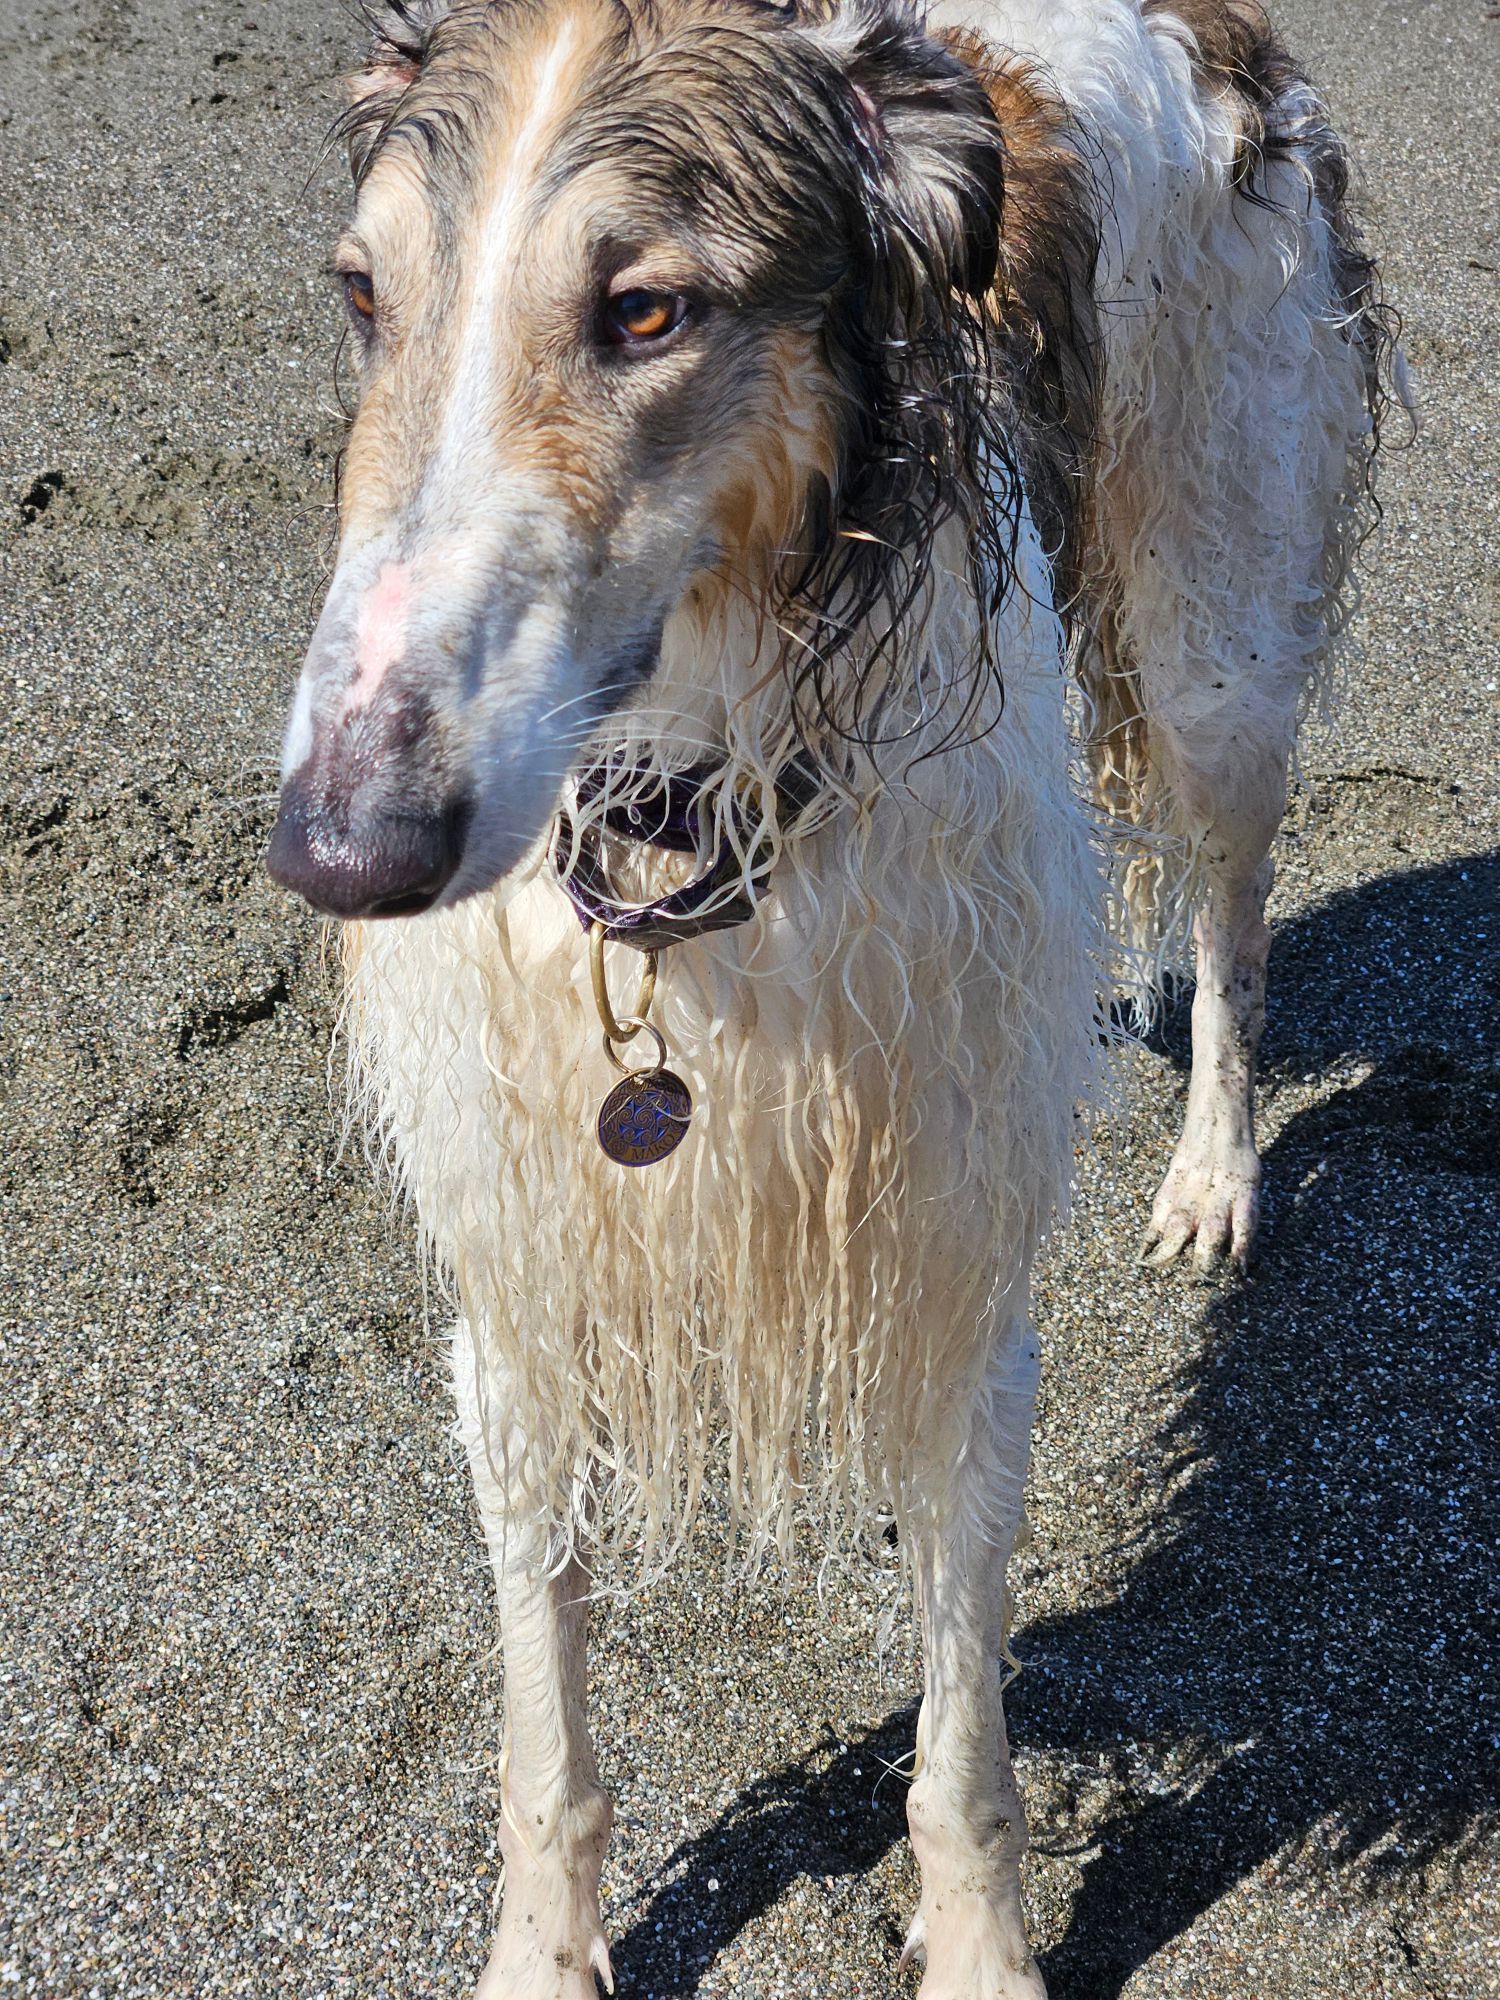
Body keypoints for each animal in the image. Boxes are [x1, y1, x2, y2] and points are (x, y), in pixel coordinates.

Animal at [268, 7, 1400, 1992]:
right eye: (360, 291)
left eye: (646, 308)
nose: (342, 846)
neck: (678, 823)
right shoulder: (522, 1270)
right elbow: (546, 1739)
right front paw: (542, 1956)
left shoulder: (952, 1274)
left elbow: (958, 1744)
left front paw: (982, 1955)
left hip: (1215, 630)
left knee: (1235, 905)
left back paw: (1214, 1171)